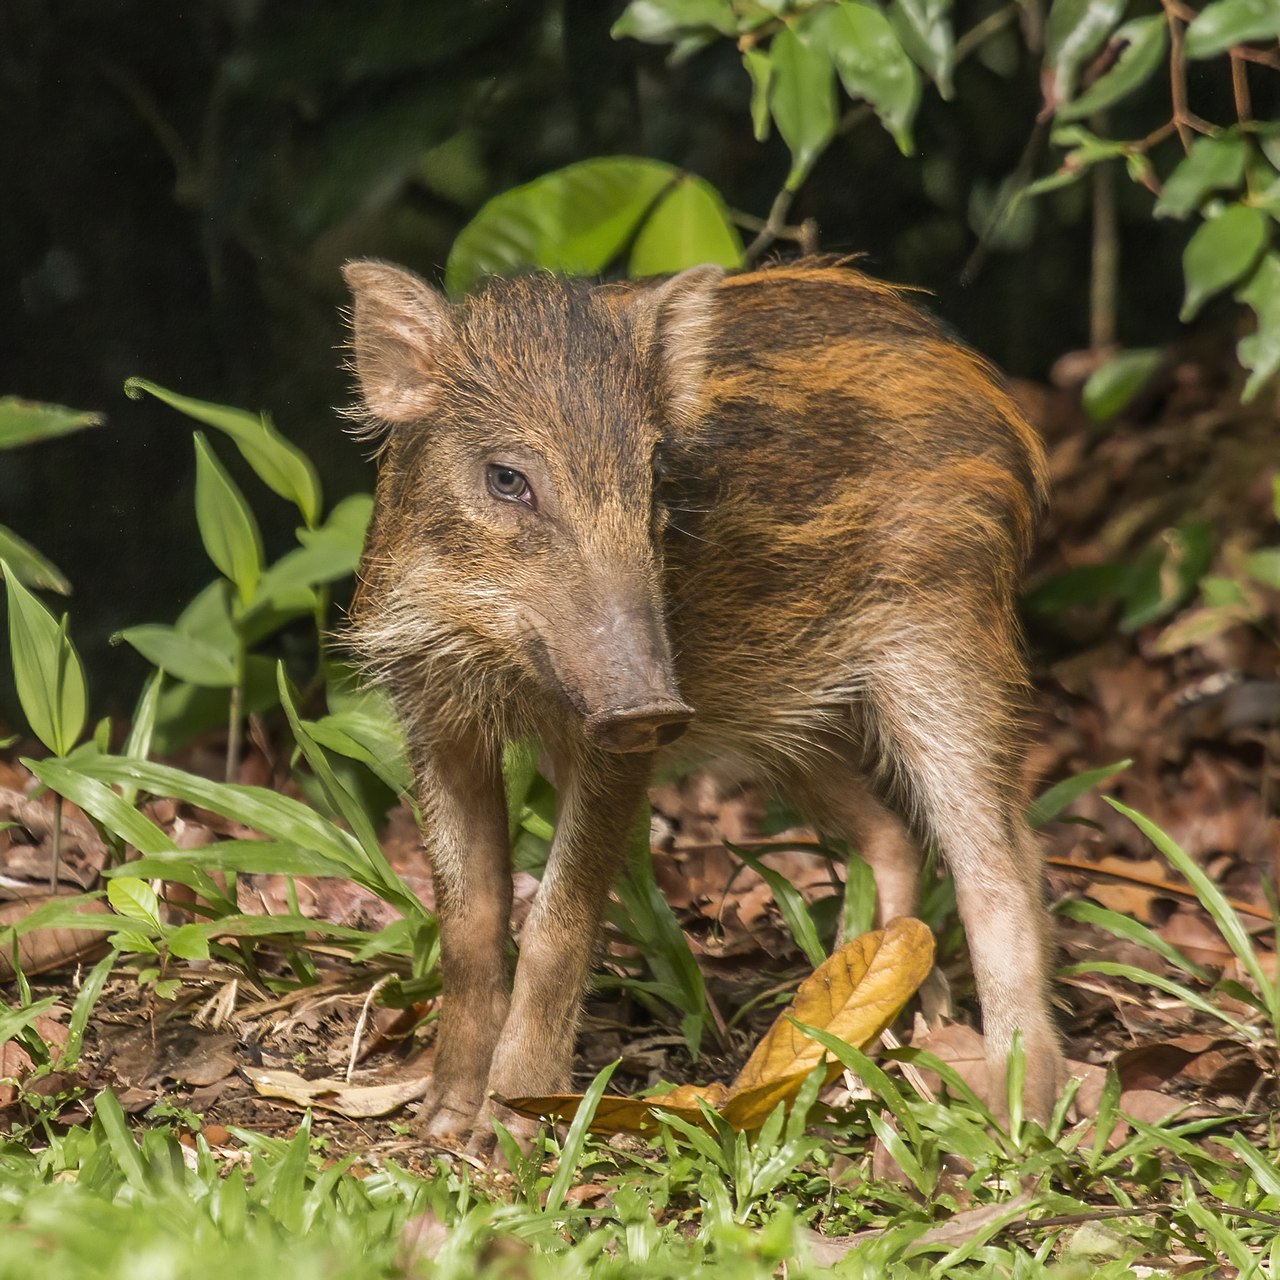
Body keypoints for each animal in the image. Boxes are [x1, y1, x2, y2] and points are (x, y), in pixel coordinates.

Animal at [341, 258, 1064, 1149]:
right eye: (507, 478)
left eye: (653, 480)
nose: (648, 701)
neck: (502, 659)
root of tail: (994, 396)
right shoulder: (435, 713)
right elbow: (470, 918)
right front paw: (441, 1123)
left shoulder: (620, 746)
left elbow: (555, 921)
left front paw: (508, 1128)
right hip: (794, 721)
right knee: (893, 840)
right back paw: (846, 1043)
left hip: (947, 641)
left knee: (1004, 861)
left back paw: (1018, 1115)